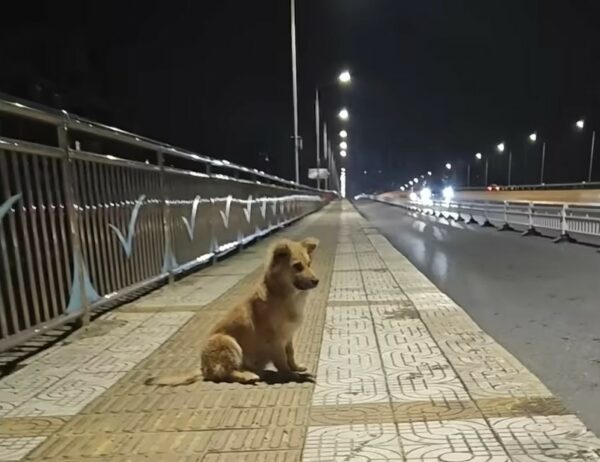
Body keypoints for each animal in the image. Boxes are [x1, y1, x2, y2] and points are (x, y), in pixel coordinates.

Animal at [146, 236, 322, 384]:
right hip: (227, 341)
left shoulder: (288, 335)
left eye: (309, 264)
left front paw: (295, 367)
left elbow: (290, 354)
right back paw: (248, 376)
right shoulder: (275, 339)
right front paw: (290, 374)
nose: (316, 281)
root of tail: (204, 369)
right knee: (225, 373)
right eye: (297, 266)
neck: (284, 296)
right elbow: (281, 360)